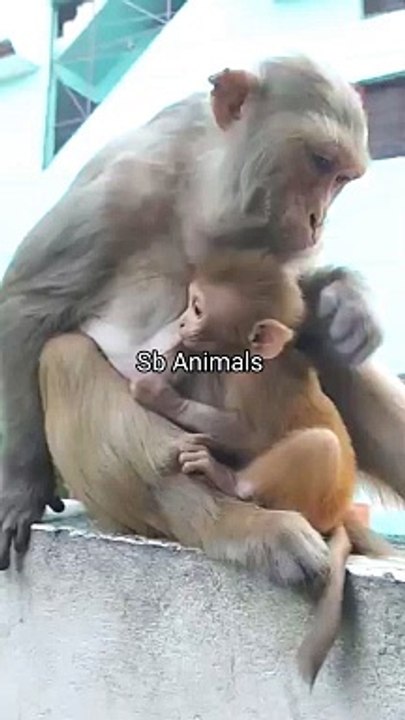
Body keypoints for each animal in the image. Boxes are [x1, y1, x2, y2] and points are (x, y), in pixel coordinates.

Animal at [3, 55, 401, 582]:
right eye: (319, 162)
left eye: (342, 178)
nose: (317, 221)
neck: (200, 189)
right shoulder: (121, 189)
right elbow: (28, 305)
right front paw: (21, 485)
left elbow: (293, 306)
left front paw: (345, 300)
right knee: (63, 356)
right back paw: (245, 524)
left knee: (323, 357)